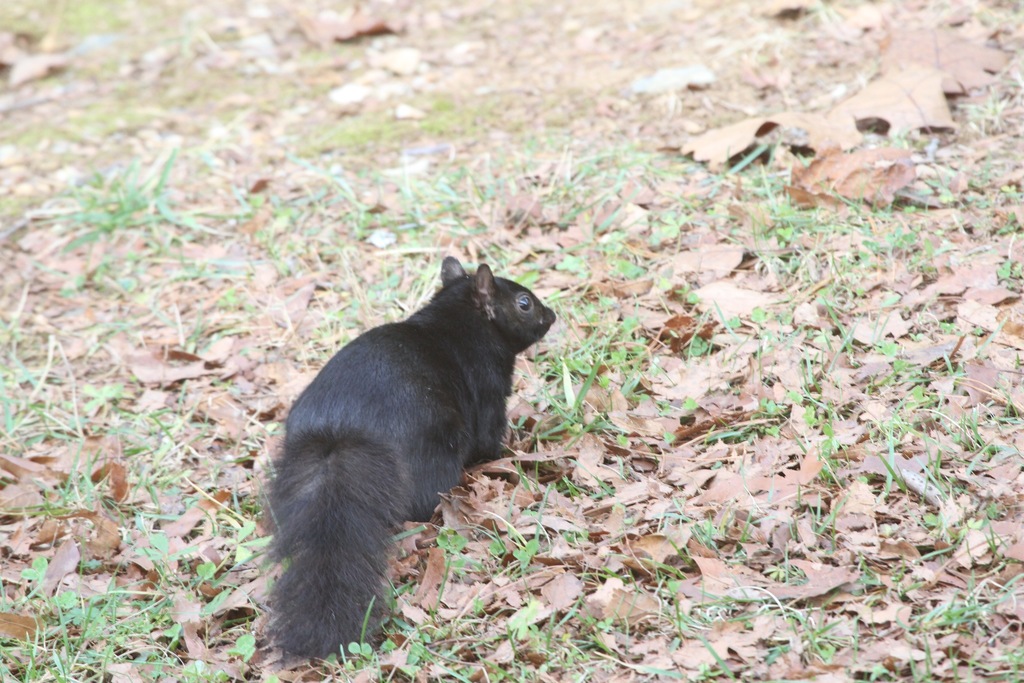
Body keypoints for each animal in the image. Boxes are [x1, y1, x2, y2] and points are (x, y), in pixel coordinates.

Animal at [267, 257, 556, 660]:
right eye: (524, 303)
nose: (552, 315)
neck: (458, 321)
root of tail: (341, 434)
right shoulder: (487, 389)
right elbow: (489, 439)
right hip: (436, 449)